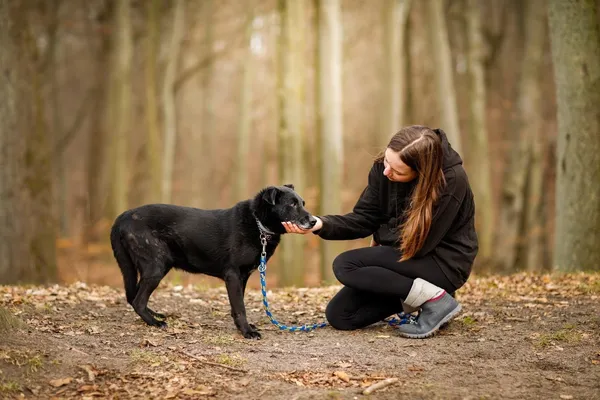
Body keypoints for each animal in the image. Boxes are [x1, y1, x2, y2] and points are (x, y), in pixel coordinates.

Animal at [110, 184, 316, 338]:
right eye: (292, 204)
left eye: (303, 203)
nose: (314, 221)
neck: (258, 223)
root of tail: (123, 216)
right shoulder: (233, 276)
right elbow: (240, 307)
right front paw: (247, 332)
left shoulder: (243, 277)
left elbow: (237, 306)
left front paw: (243, 327)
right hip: (156, 267)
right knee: (138, 301)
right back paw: (155, 323)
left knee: (134, 297)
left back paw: (153, 315)